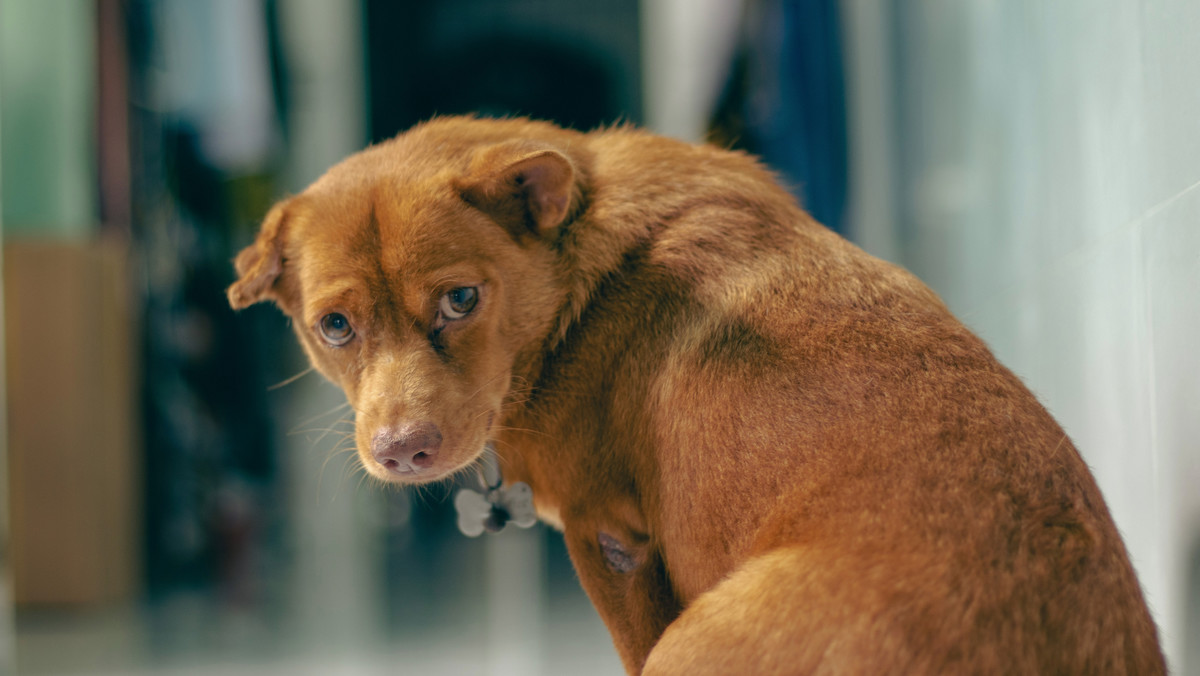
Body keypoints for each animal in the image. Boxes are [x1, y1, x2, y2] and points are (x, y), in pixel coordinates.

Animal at [225, 117, 1161, 676]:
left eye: (460, 299)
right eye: (335, 327)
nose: (402, 451)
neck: (579, 275)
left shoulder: (611, 541)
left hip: (697, 638)